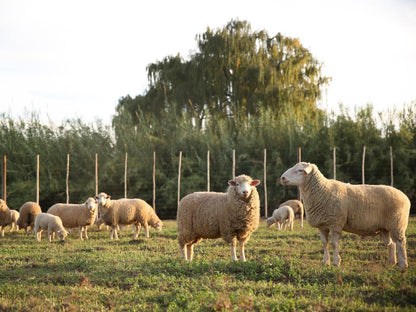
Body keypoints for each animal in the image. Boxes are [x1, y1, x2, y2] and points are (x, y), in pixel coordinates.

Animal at [280, 161, 410, 268]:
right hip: (385, 228)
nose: (282, 178)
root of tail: (405, 196)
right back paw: (391, 262)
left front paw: (336, 262)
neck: (322, 190)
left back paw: (403, 265)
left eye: (300, 170)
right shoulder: (322, 226)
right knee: (391, 244)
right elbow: (325, 243)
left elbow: (334, 243)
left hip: (397, 224)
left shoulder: (335, 223)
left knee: (401, 242)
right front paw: (325, 261)